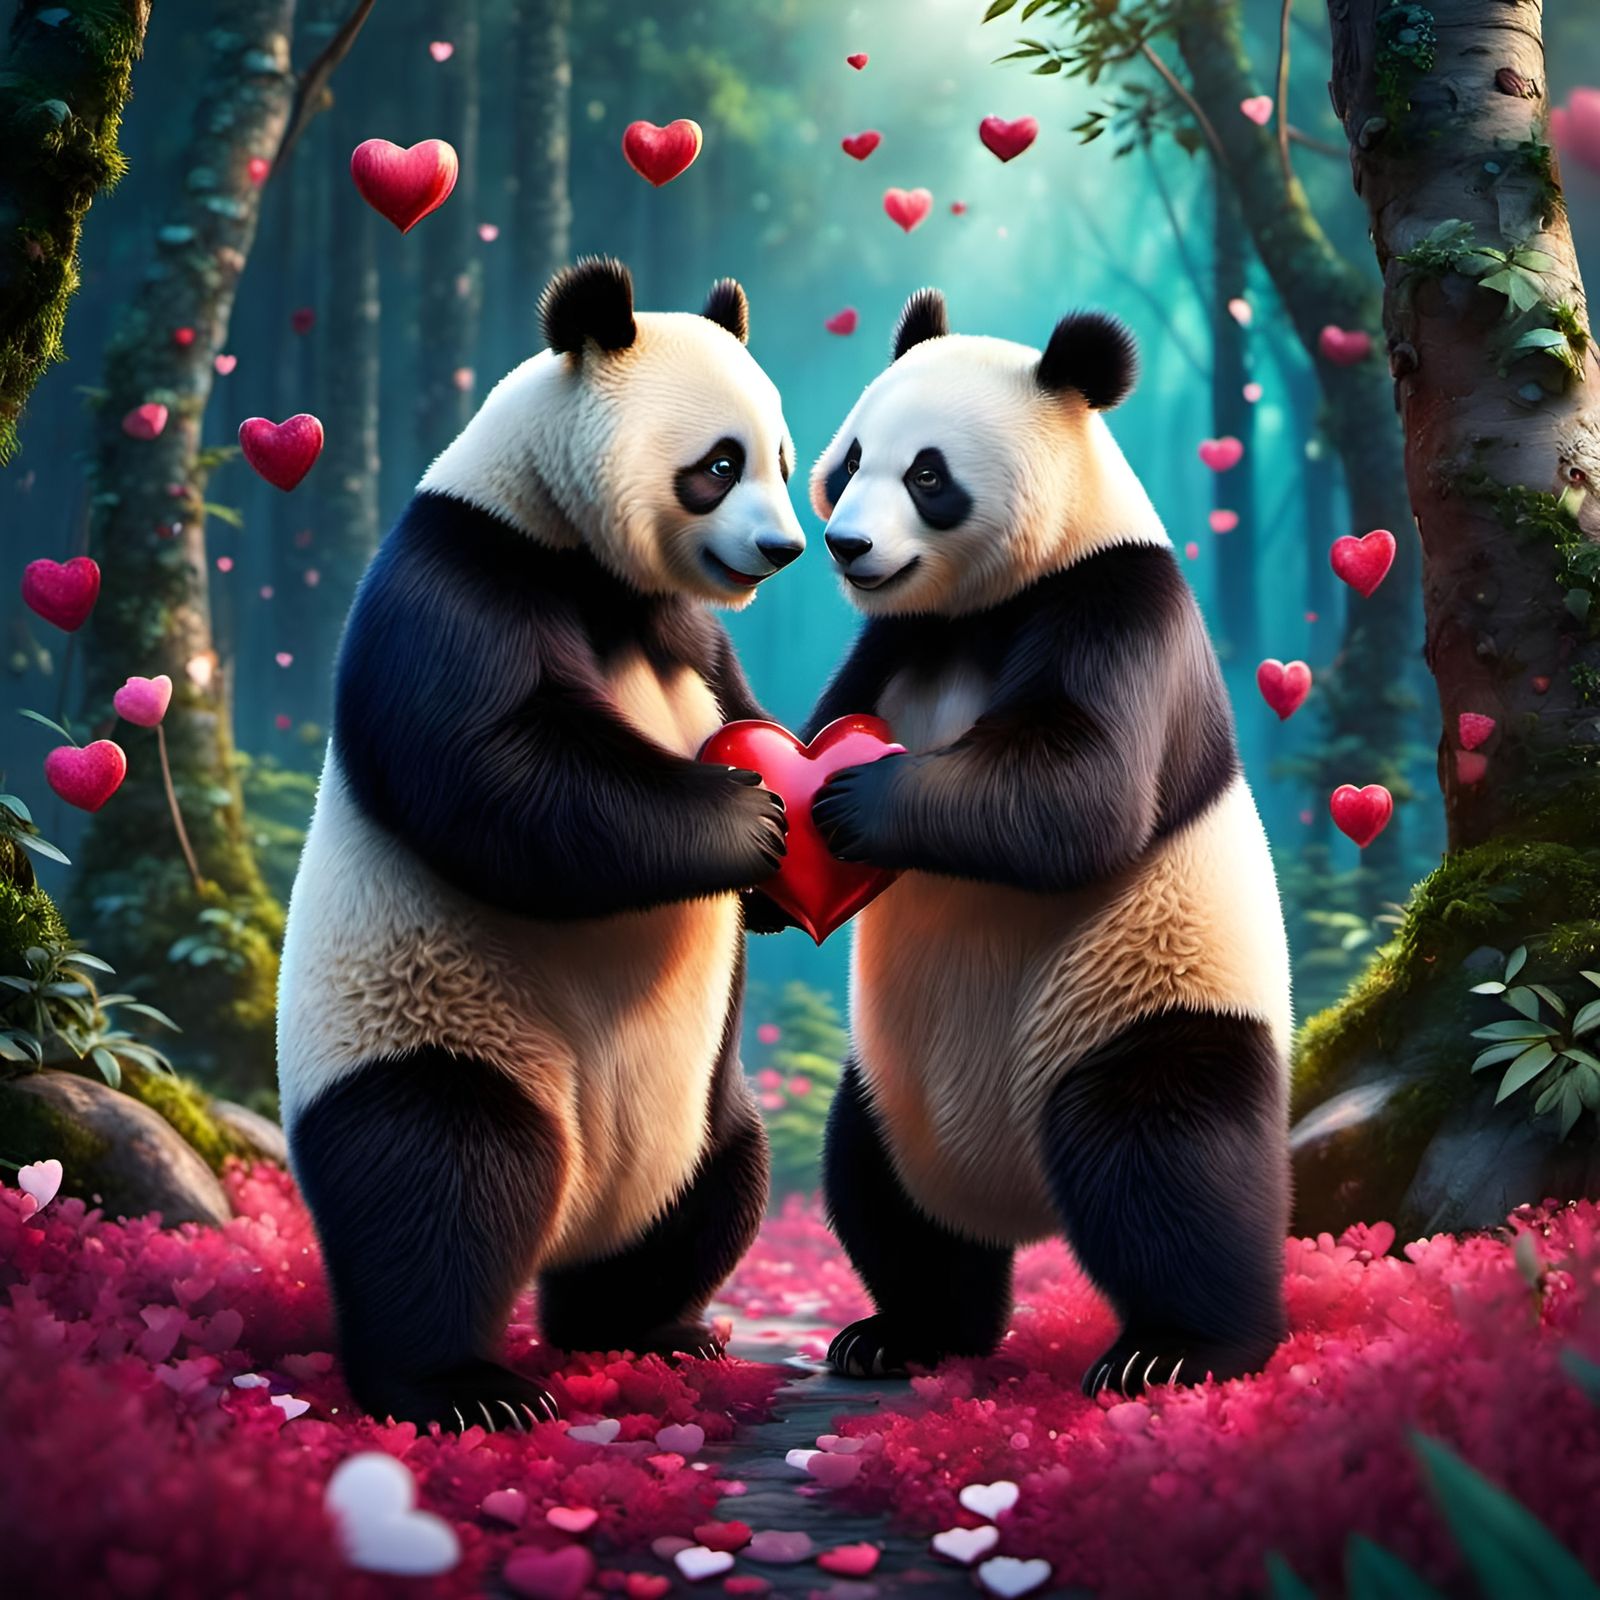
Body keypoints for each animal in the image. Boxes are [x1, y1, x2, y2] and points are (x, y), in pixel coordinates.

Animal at [276, 257, 805, 1432]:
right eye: (719, 465)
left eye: (787, 461)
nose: (783, 548)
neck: (592, 567)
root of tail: (581, 1210)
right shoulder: (469, 572)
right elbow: (504, 774)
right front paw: (747, 820)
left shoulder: (694, 639)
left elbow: (737, 697)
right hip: (443, 1027)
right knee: (438, 1184)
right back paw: (461, 1387)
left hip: (704, 1110)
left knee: (715, 1191)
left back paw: (647, 1328)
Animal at [802, 289, 1292, 1397]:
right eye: (850, 459)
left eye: (928, 475)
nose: (846, 546)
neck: (983, 606)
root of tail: (1013, 1194)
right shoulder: (894, 641)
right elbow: (823, 714)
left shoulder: (1115, 605)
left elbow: (1079, 792)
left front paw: (854, 800)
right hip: (890, 1086)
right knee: (878, 1189)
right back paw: (907, 1331)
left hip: (1138, 1011)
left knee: (1166, 1163)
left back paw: (1181, 1349)